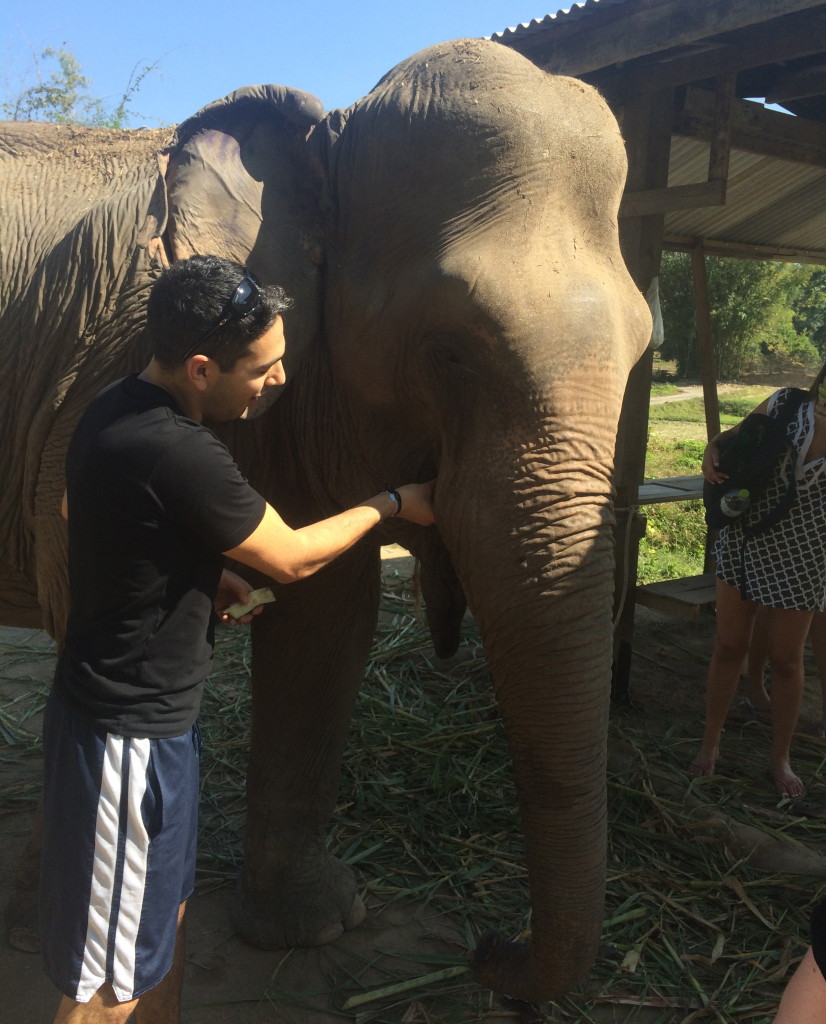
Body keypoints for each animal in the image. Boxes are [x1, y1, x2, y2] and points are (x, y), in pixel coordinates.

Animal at [0, 37, 650, 999]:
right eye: (447, 351)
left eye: (645, 350)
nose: (489, 946)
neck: (328, 137)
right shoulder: (87, 395)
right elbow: (88, 606)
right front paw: (49, 939)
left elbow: (324, 622)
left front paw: (312, 928)